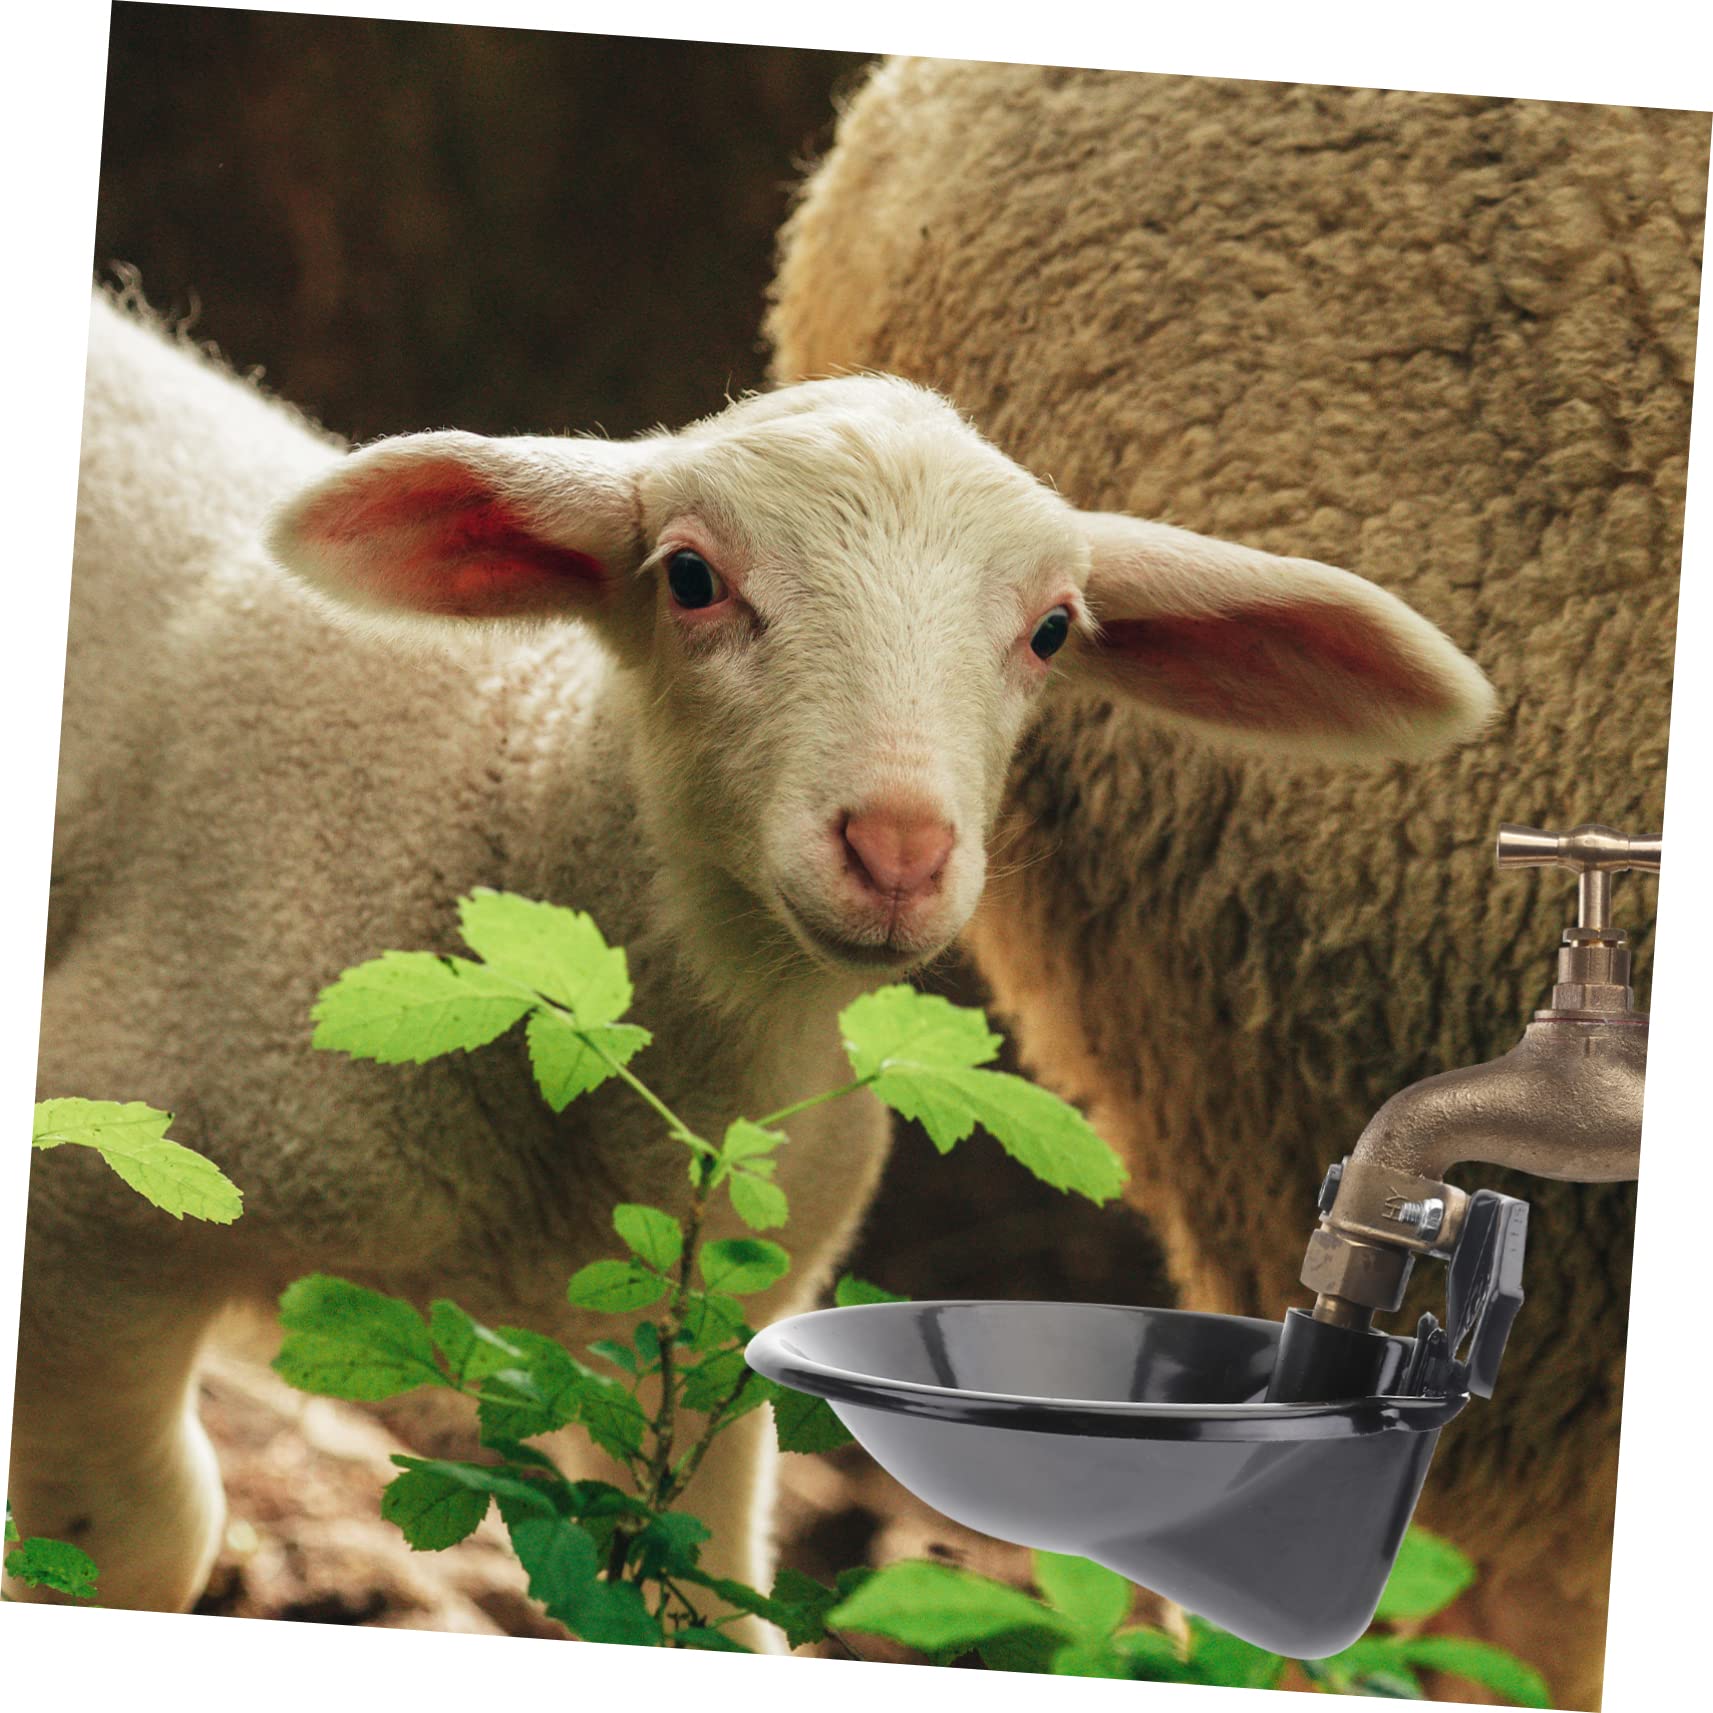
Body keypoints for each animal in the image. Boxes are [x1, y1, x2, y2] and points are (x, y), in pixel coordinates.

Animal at [9, 286, 1492, 1628]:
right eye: (689, 578)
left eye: (1052, 629)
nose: (896, 847)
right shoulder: (95, 1193)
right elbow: (136, 1542)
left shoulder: (705, 1341)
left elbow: (700, 1597)